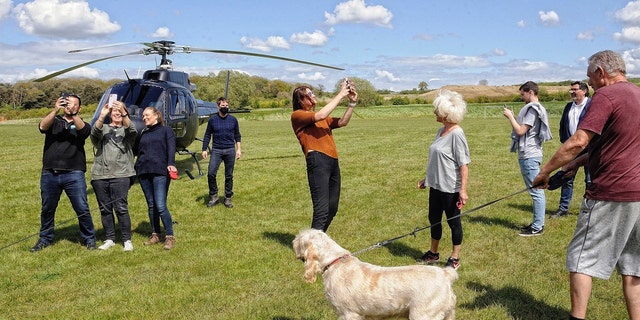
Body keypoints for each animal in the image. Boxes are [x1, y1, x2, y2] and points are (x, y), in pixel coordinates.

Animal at [292, 229, 458, 318]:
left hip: (424, 314)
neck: (334, 262)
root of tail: (446, 274)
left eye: (300, 239)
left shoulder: (349, 314)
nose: (293, 242)